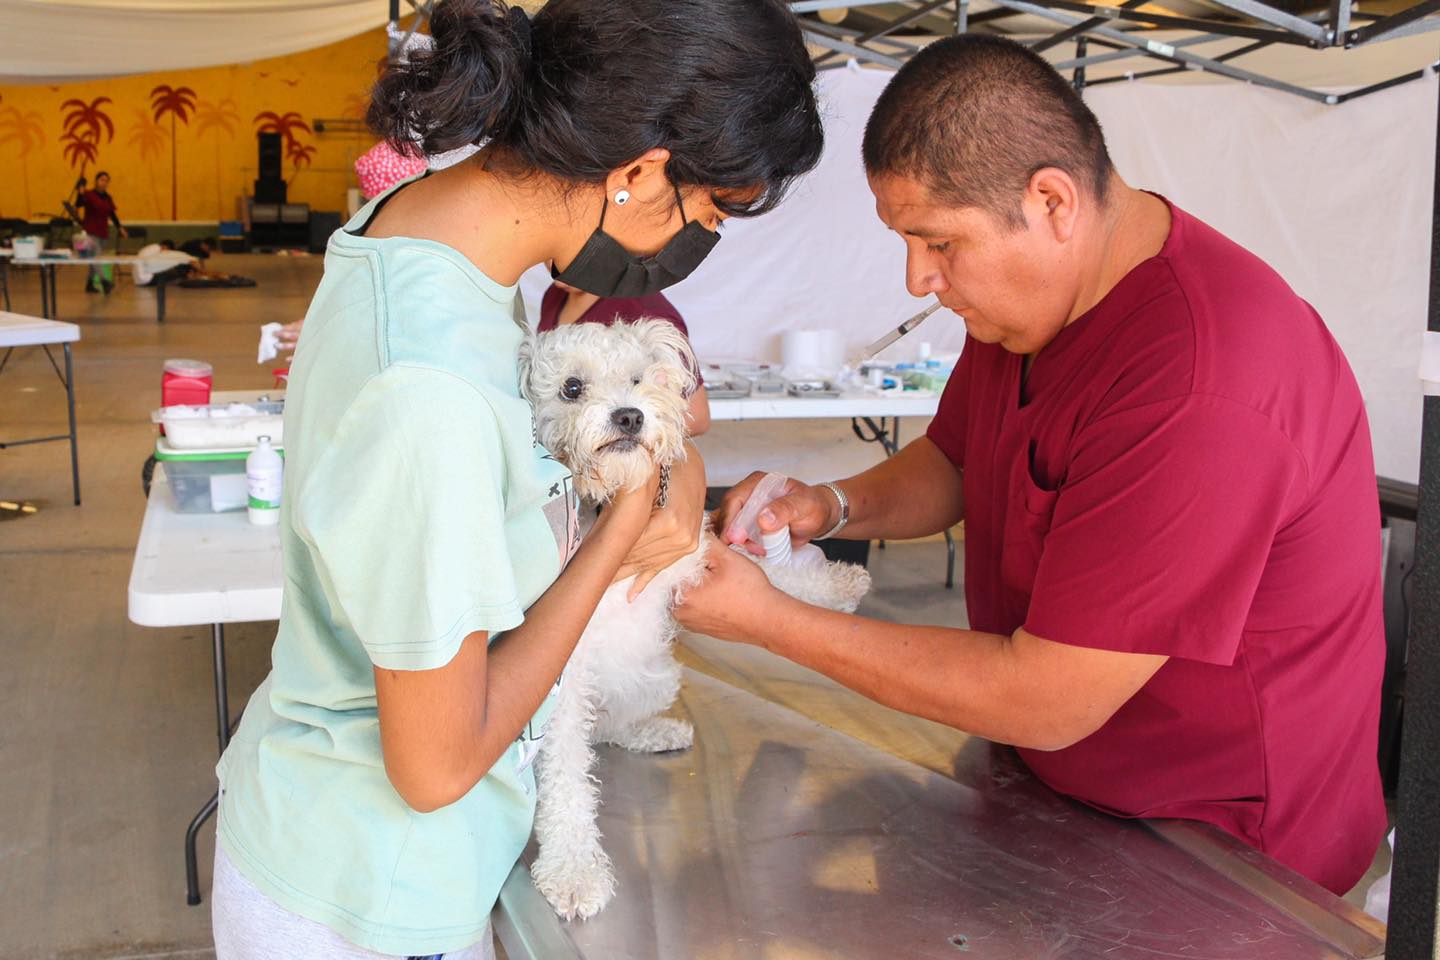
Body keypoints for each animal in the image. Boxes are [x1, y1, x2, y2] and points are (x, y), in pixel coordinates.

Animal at [521, 319, 869, 921]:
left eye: (638, 379)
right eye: (571, 387)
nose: (630, 416)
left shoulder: (697, 554)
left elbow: (772, 577)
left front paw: (839, 587)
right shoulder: (560, 672)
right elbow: (566, 778)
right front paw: (573, 873)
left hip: (654, 676)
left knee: (611, 727)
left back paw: (654, 732)